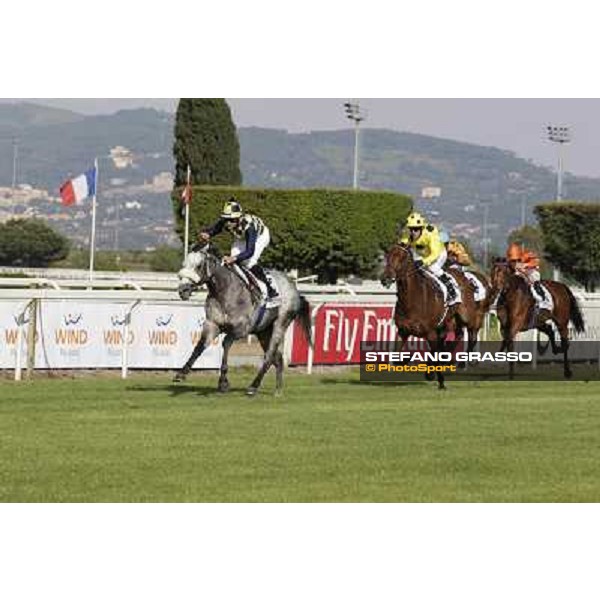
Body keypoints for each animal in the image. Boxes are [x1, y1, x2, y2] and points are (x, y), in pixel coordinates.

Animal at [175, 244, 312, 398]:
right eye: (184, 264)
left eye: (198, 266)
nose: (183, 290)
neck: (225, 291)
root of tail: (295, 289)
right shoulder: (212, 324)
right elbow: (199, 346)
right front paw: (182, 373)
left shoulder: (241, 329)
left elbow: (226, 343)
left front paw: (223, 382)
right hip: (263, 331)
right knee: (277, 359)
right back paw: (278, 389)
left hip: (280, 324)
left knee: (269, 356)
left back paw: (253, 387)